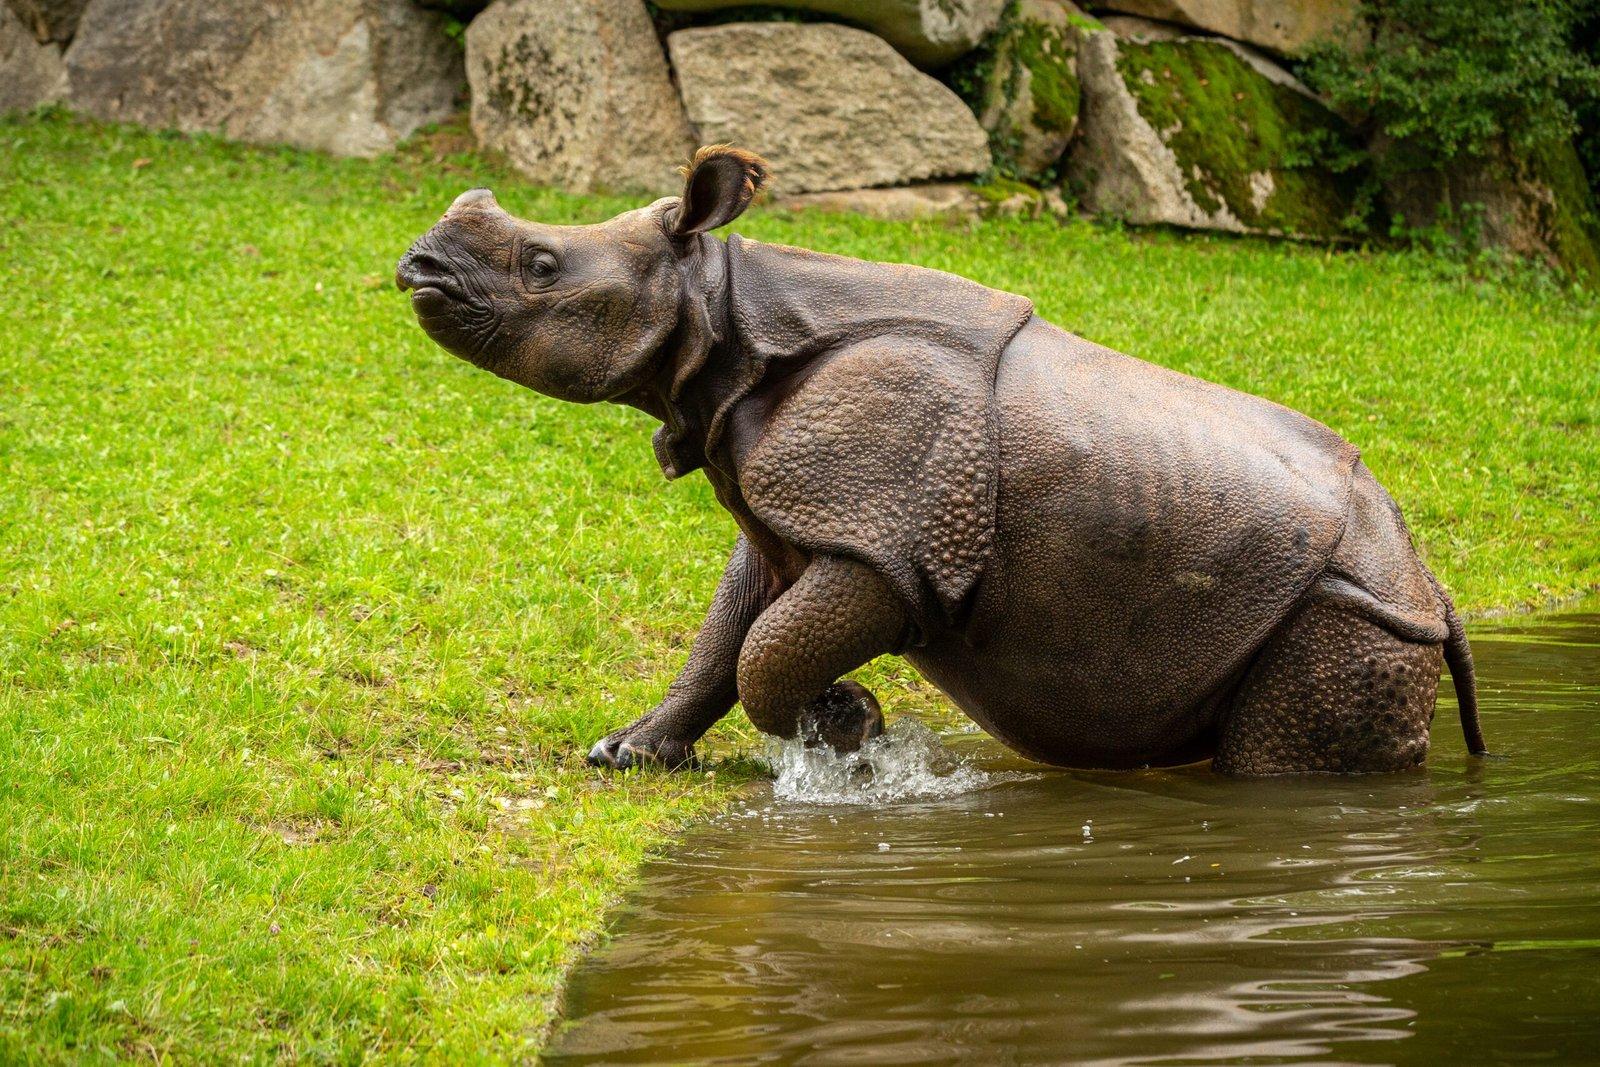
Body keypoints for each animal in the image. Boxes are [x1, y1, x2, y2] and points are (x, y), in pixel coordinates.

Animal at [395, 146, 1485, 776]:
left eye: (542, 267)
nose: (415, 267)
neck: (724, 314)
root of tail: (1427, 581)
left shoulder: (888, 533)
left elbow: (766, 649)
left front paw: (848, 722)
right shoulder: (799, 507)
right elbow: (725, 632)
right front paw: (627, 753)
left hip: (1349, 608)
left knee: (1278, 761)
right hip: (1339, 590)